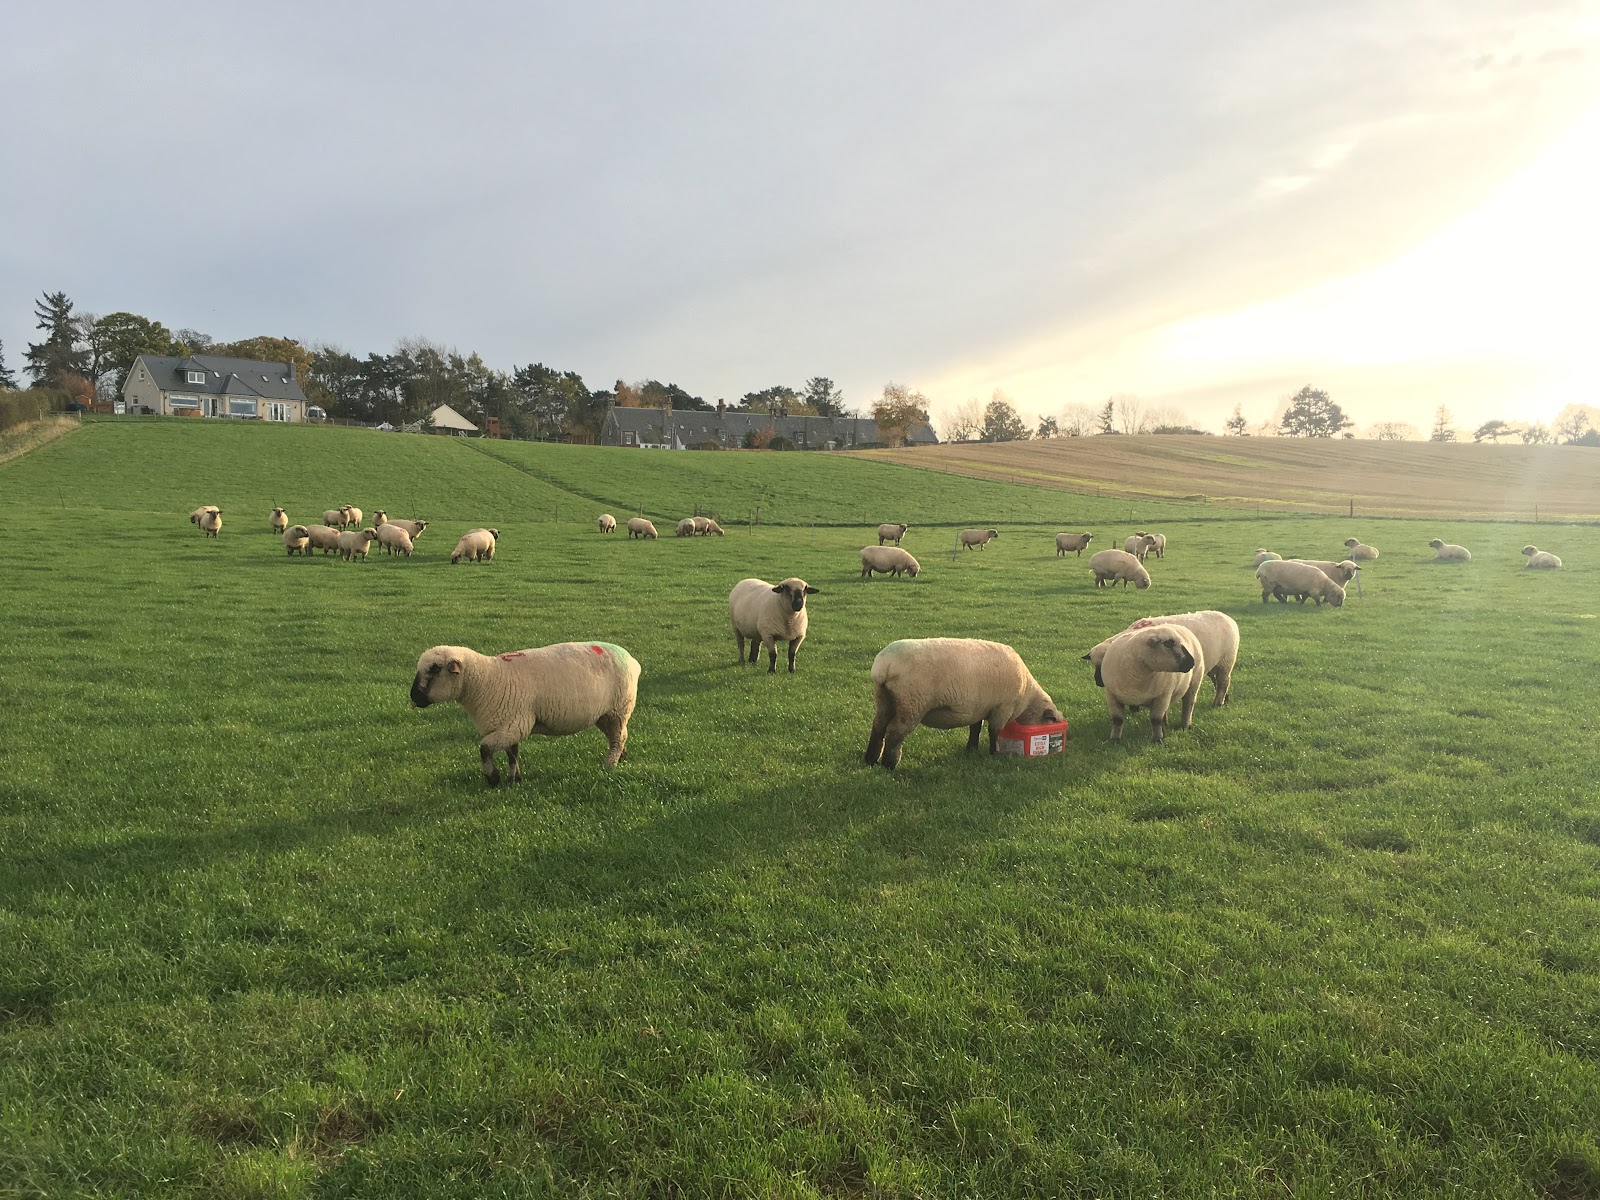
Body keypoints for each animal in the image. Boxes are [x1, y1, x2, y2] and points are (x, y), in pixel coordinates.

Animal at [410, 640, 641, 783]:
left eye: (434, 669)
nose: (413, 697)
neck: (487, 679)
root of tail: (632, 660)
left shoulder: (514, 725)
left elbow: (484, 748)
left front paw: (493, 778)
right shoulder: (508, 724)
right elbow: (512, 753)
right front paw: (515, 779)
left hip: (619, 709)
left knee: (618, 737)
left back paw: (610, 765)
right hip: (605, 714)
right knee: (617, 736)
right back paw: (621, 757)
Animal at [864, 638, 1062, 770]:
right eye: (1049, 721)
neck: (1027, 695)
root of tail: (884, 667)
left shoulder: (980, 707)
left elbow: (976, 729)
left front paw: (971, 749)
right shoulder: (1002, 708)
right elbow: (994, 732)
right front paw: (994, 753)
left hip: (885, 699)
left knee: (878, 727)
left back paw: (870, 760)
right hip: (912, 703)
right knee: (895, 733)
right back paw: (889, 765)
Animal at [1085, 610, 1239, 707]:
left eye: (1103, 664)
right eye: (1093, 664)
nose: (1098, 682)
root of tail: (1229, 618)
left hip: (1226, 661)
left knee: (1224, 681)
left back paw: (1217, 703)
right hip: (1213, 664)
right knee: (1217, 680)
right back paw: (1225, 699)